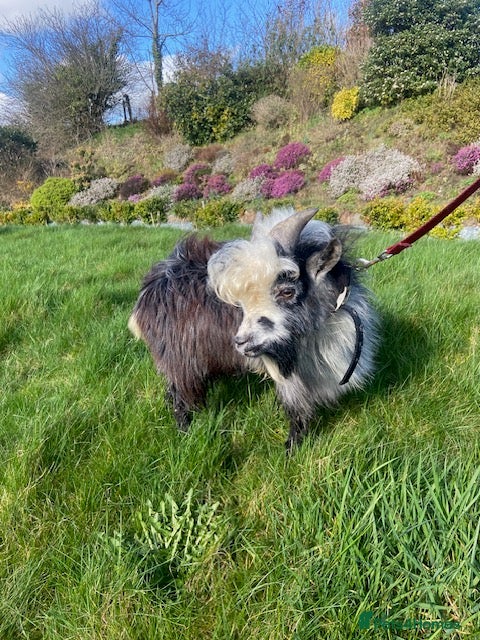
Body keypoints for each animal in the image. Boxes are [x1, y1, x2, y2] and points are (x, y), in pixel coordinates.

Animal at [128, 207, 379, 450]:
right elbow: (297, 408)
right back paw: (185, 432)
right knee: (180, 395)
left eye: (287, 291)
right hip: (181, 358)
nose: (240, 342)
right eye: (241, 301)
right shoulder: (288, 372)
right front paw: (292, 448)